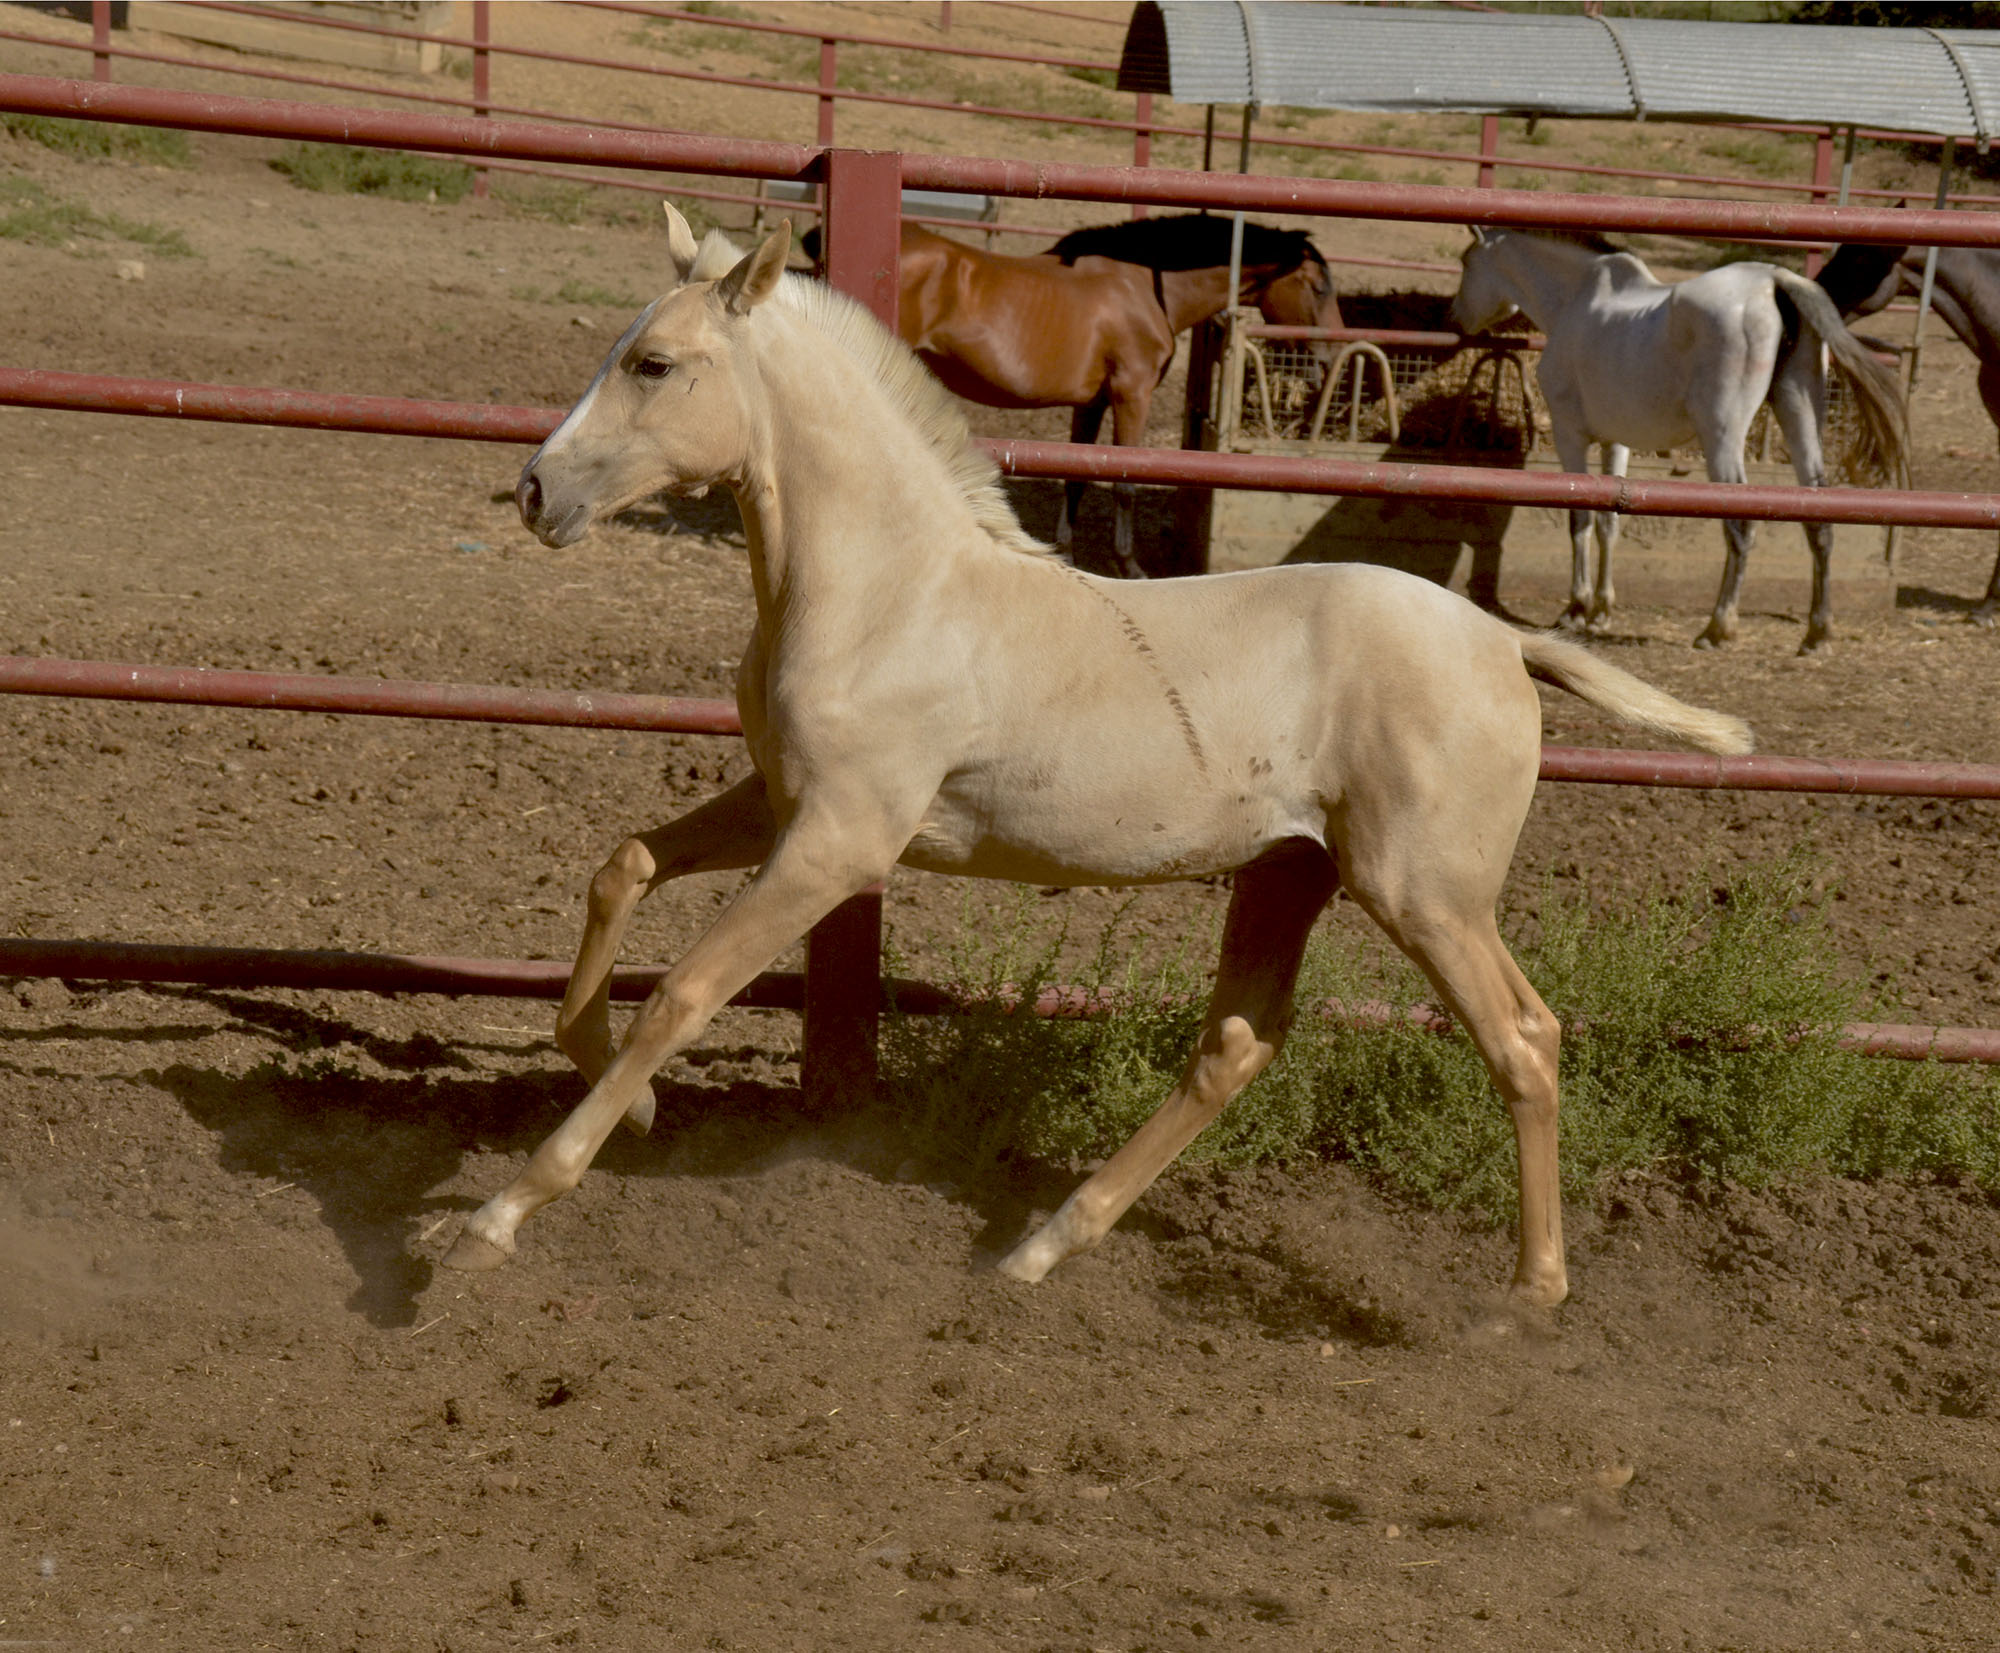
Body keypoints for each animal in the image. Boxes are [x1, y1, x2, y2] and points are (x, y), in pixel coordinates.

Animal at [442, 212, 1752, 1304]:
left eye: (655, 365)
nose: (533, 490)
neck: (891, 592)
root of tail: (1499, 640)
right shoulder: (781, 804)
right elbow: (621, 866)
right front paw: (622, 1093)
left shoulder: (839, 841)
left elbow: (685, 992)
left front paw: (502, 1211)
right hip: (1289, 875)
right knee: (1235, 1046)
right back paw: (1040, 1246)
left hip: (1423, 893)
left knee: (1522, 1040)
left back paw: (1525, 1298)